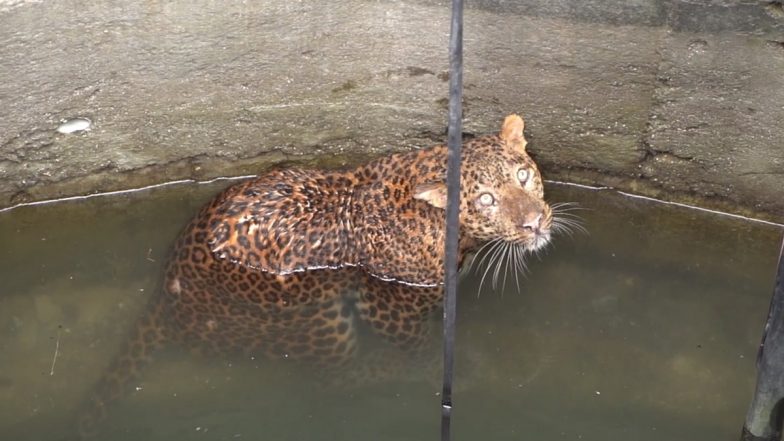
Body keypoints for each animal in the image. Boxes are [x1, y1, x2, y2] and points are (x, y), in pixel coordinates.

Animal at [75, 114, 567, 437]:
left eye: (523, 175)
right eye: (485, 200)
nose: (534, 224)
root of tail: (165, 291)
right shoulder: (388, 307)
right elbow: (419, 349)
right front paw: (439, 372)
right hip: (319, 325)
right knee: (327, 380)